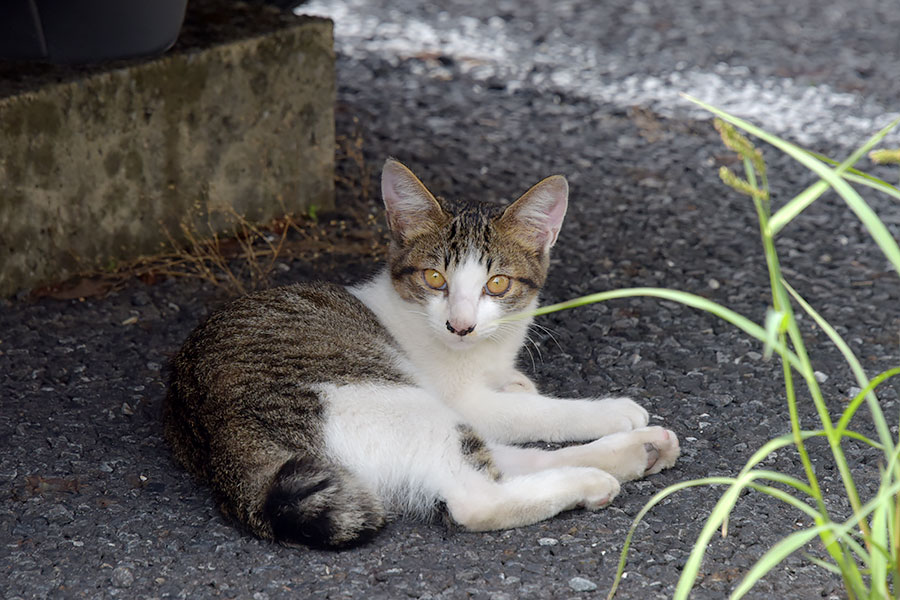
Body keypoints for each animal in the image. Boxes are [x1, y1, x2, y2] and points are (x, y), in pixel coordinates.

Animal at [163, 158, 684, 548]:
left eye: (497, 284)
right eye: (435, 278)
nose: (460, 325)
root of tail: (230, 452)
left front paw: (522, 382)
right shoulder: (462, 398)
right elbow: (533, 412)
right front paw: (609, 410)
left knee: (497, 462)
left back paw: (638, 452)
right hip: (387, 397)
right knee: (475, 497)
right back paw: (592, 480)